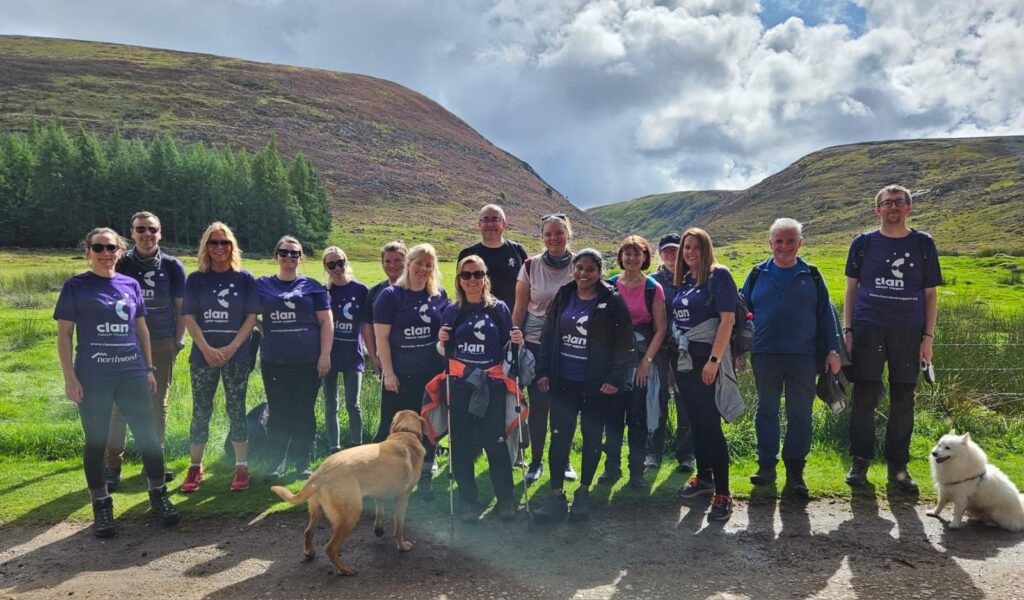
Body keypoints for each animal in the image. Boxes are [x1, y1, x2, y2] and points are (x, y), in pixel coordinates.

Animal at [270, 409, 425, 573]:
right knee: (330, 547)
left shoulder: (379, 491)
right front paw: (402, 546)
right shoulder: (403, 497)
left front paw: (378, 529)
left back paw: (310, 552)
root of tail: (323, 470)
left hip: (317, 510)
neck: (406, 433)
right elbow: (399, 528)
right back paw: (344, 570)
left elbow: (380, 511)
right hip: (351, 515)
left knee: (308, 532)